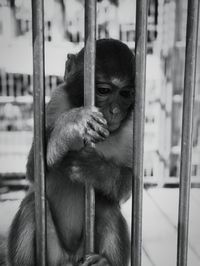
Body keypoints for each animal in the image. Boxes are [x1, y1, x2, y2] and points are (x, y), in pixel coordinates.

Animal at [7, 38, 134, 266]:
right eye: (103, 90)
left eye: (125, 93)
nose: (116, 111)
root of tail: (70, 258)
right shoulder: (57, 100)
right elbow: (33, 169)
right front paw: (72, 124)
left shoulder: (131, 126)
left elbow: (128, 183)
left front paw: (95, 169)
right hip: (52, 253)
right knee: (32, 205)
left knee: (108, 207)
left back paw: (104, 262)